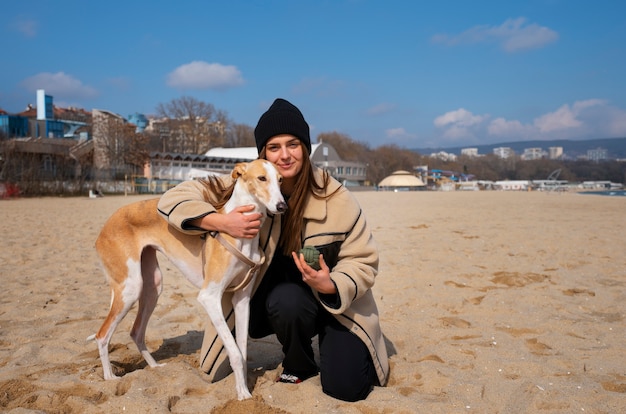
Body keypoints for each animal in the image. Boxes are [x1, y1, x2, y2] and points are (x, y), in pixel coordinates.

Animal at [88, 160, 288, 400]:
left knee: (136, 331)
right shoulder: (209, 297)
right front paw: (243, 395)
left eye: (280, 179)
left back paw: (155, 367)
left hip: (152, 286)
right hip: (131, 288)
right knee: (102, 335)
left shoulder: (241, 299)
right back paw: (110, 377)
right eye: (261, 178)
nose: (282, 206)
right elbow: (235, 353)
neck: (241, 235)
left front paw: (244, 391)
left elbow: (242, 350)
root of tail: (105, 227)